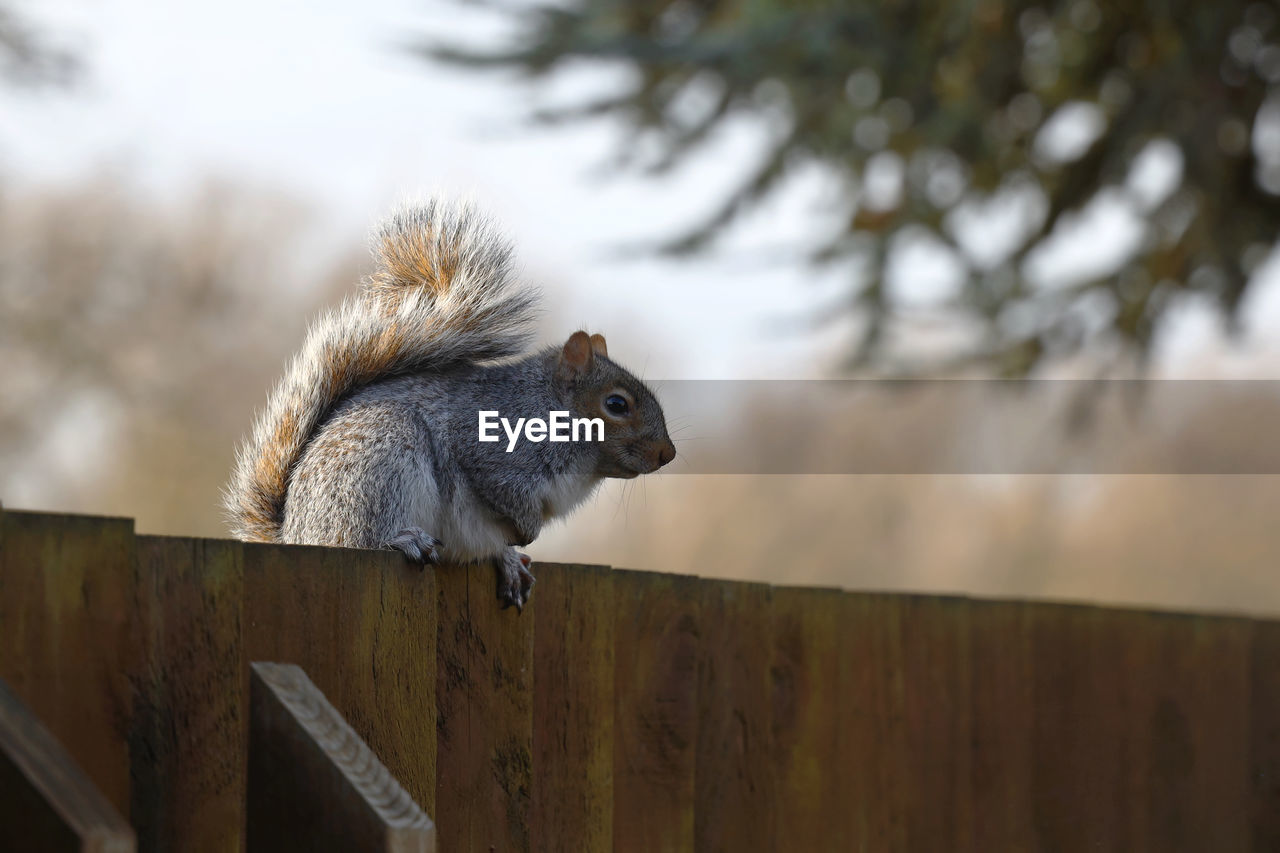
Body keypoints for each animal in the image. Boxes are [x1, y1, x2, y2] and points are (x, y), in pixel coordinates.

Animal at [224, 197, 675, 612]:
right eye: (616, 404)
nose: (667, 454)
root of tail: (294, 533)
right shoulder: (492, 448)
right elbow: (502, 489)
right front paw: (525, 530)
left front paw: (513, 551)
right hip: (377, 467)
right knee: (359, 536)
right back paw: (402, 539)